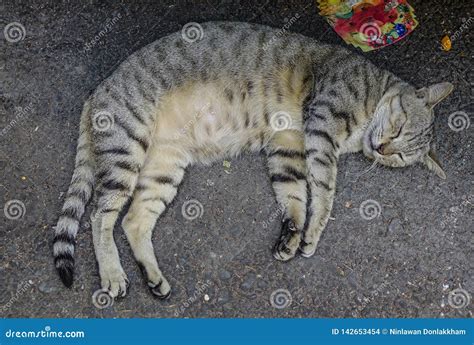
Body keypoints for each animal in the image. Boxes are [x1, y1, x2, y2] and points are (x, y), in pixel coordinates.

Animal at [51, 21, 452, 296]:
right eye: (399, 128)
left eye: (399, 157)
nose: (383, 150)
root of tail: (97, 90)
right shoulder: (321, 125)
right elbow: (324, 191)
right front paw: (313, 233)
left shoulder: (287, 142)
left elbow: (294, 194)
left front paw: (292, 234)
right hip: (128, 149)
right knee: (100, 216)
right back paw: (112, 274)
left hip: (163, 167)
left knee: (133, 220)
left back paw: (153, 277)